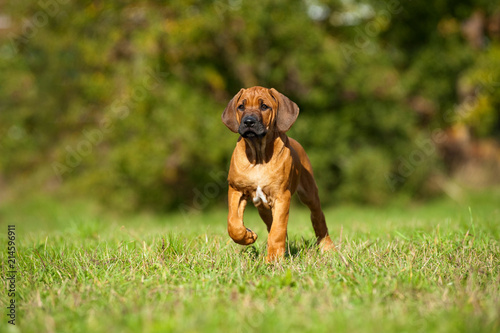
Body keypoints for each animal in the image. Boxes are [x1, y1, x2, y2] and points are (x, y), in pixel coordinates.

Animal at [221, 85, 334, 262]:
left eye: (264, 106)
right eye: (241, 107)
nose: (248, 122)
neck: (259, 157)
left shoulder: (281, 197)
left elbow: (278, 230)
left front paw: (273, 259)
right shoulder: (236, 190)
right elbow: (233, 223)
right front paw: (248, 236)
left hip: (309, 194)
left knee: (318, 218)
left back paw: (327, 247)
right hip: (263, 209)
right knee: (270, 225)